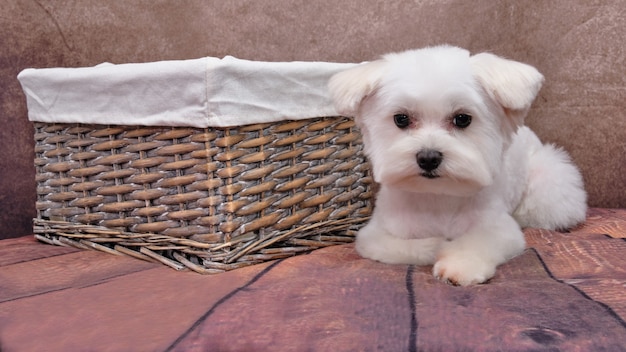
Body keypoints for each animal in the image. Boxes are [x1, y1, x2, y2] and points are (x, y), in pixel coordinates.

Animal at [326, 44, 584, 286]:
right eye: (401, 119)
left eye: (462, 119)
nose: (428, 157)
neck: (439, 198)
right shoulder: (375, 235)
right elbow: (408, 247)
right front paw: (437, 246)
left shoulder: (501, 229)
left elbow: (479, 242)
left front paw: (461, 264)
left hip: (547, 185)